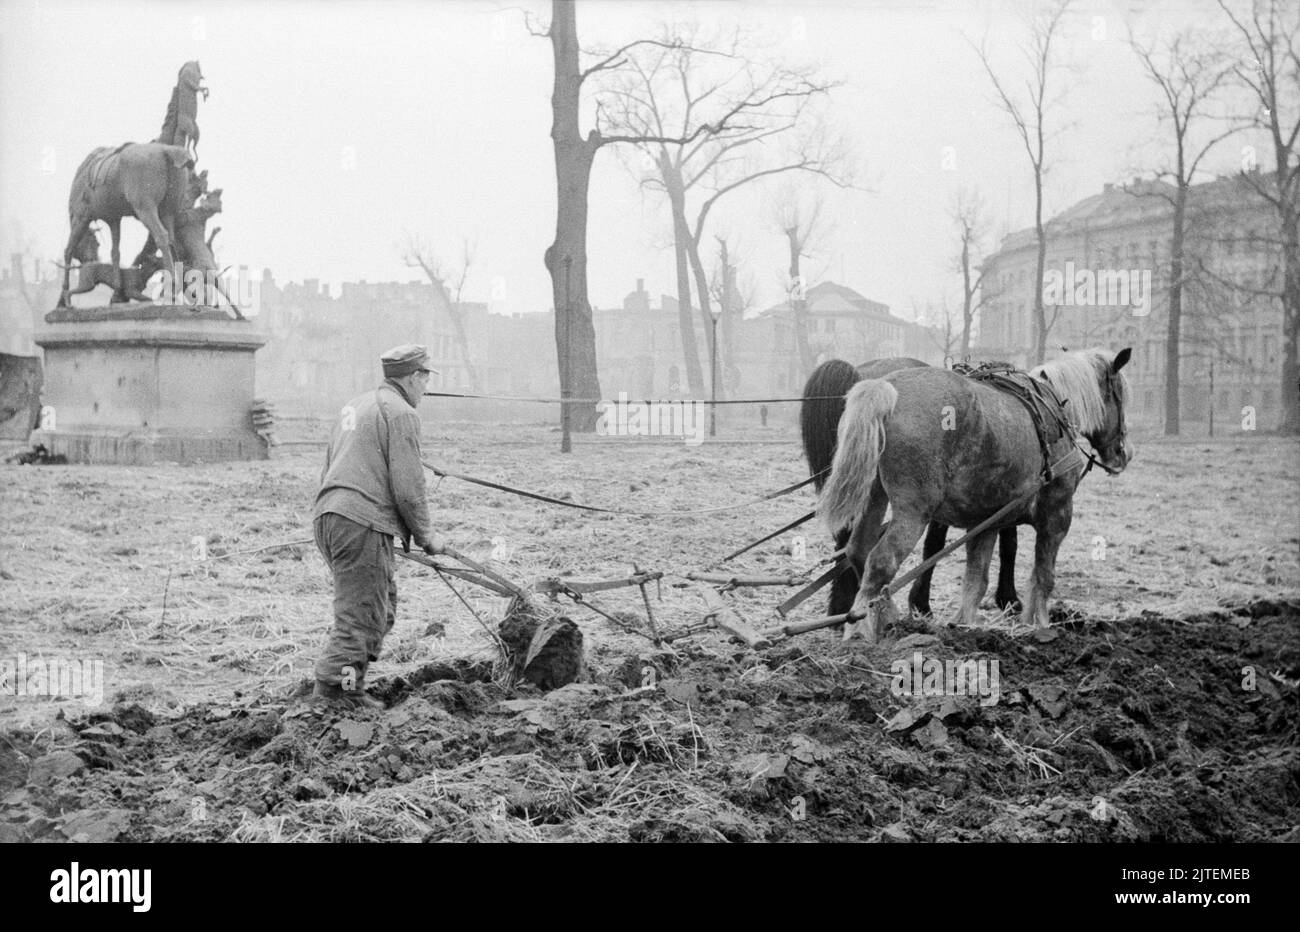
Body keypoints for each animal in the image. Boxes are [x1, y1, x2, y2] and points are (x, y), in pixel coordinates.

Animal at [816, 348, 1133, 639]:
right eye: (1118, 396)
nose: (1123, 454)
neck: (1054, 410)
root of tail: (887, 390)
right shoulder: (1056, 516)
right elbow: (1043, 576)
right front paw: (1040, 624)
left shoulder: (986, 522)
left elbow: (976, 578)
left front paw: (963, 625)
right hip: (914, 512)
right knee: (882, 561)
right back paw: (860, 629)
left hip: (874, 498)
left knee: (858, 551)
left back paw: (885, 614)